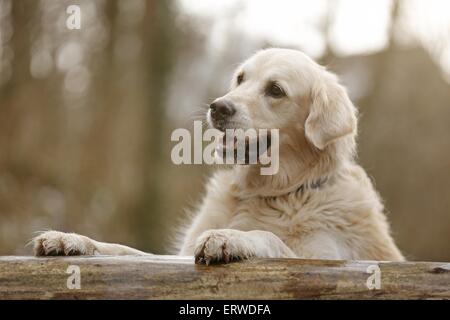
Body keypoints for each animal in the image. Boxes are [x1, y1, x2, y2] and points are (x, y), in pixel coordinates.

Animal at [32, 47, 404, 262]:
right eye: (240, 78)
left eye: (276, 90)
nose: (218, 107)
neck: (271, 193)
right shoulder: (176, 255)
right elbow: (123, 250)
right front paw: (71, 239)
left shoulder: (327, 258)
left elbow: (269, 237)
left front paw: (230, 238)